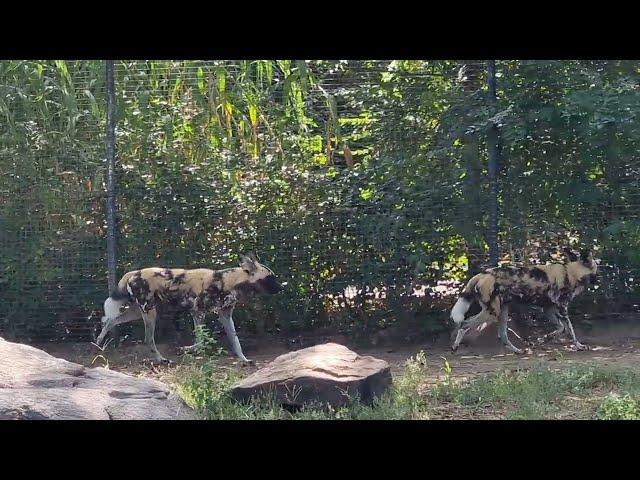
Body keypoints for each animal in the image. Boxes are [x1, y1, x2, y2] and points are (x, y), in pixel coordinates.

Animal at [95, 253, 282, 362]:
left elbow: (236, 341)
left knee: (110, 321)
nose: (282, 288)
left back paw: (98, 342)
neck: (227, 282)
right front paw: (186, 349)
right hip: (150, 313)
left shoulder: (225, 316)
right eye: (270, 278)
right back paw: (161, 359)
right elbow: (201, 340)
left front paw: (243, 359)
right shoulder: (198, 313)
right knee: (148, 339)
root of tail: (135, 272)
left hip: (137, 312)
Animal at [452, 249, 596, 354]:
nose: (597, 280)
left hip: (502, 312)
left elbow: (562, 328)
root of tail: (481, 274)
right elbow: (570, 329)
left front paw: (547, 337)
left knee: (502, 335)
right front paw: (579, 346)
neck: (571, 273)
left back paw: (517, 351)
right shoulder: (562, 308)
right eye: (596, 270)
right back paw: (455, 347)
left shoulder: (548, 309)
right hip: (492, 313)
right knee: (464, 324)